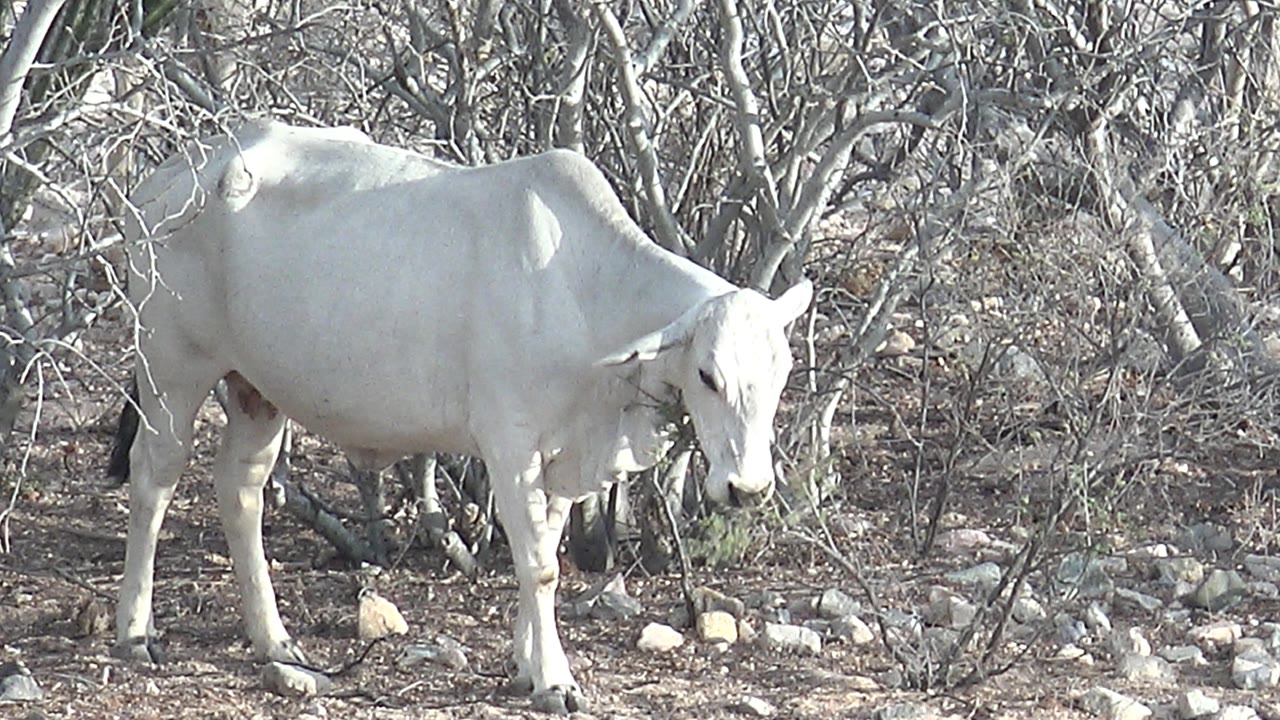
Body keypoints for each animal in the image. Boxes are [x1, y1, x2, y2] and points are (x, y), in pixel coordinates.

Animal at [112, 120, 812, 714]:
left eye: (781, 372)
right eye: (708, 375)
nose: (748, 487)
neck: (583, 294)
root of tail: (164, 178)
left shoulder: (562, 458)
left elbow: (545, 550)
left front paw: (527, 665)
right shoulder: (509, 443)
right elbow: (540, 565)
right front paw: (554, 680)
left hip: (257, 389)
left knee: (242, 491)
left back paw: (275, 640)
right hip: (171, 370)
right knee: (154, 480)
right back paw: (136, 632)